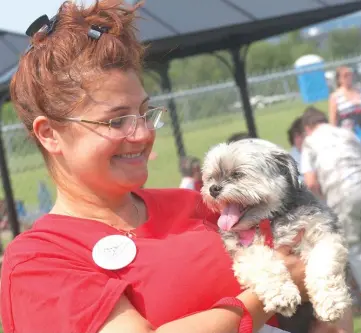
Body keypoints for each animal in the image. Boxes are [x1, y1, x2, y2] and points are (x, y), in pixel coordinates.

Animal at [201, 138, 350, 330]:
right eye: (211, 177)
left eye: (238, 174)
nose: (213, 189)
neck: (270, 220)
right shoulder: (246, 252)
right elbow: (266, 266)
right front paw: (283, 295)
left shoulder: (325, 234)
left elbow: (323, 266)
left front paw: (330, 302)